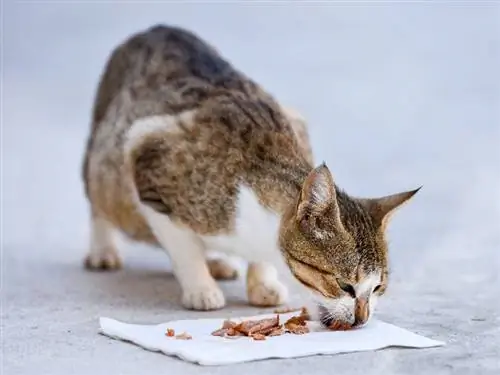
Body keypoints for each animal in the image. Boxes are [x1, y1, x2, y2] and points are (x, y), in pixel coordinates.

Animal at [82, 24, 418, 328]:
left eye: (377, 288)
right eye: (345, 285)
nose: (362, 319)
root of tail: (156, 29)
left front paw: (261, 282)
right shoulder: (148, 157)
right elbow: (183, 247)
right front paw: (200, 287)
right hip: (108, 165)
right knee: (100, 199)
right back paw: (104, 250)